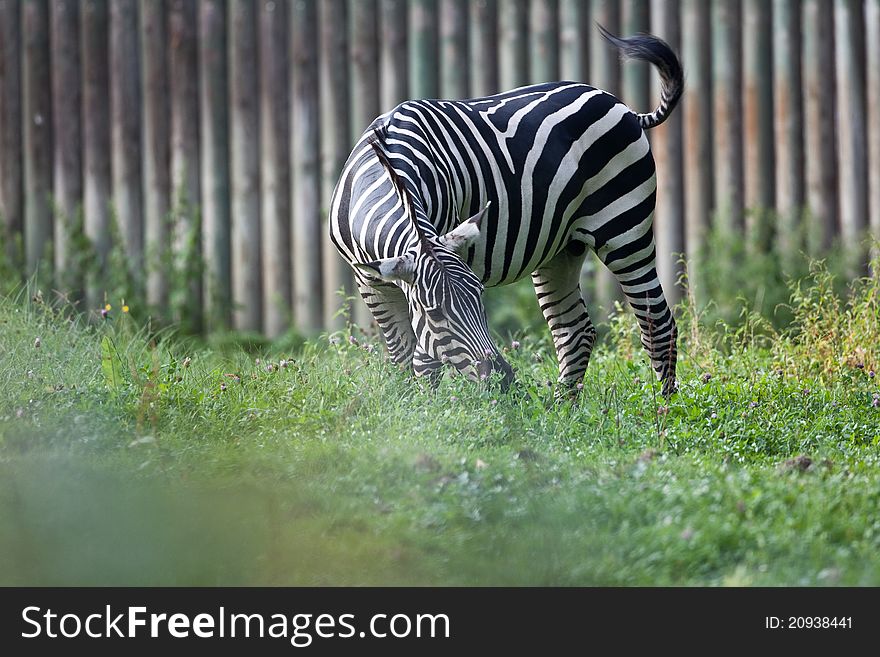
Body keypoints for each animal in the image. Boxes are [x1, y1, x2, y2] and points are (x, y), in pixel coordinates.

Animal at [326, 28, 684, 398]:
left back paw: (662, 410)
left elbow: (424, 363)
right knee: (574, 331)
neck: (384, 168)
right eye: (435, 314)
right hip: (560, 247)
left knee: (658, 323)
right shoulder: (370, 282)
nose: (502, 380)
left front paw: (430, 409)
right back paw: (563, 408)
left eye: (480, 297)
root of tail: (620, 105)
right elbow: (403, 358)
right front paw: (411, 407)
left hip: (624, 229)